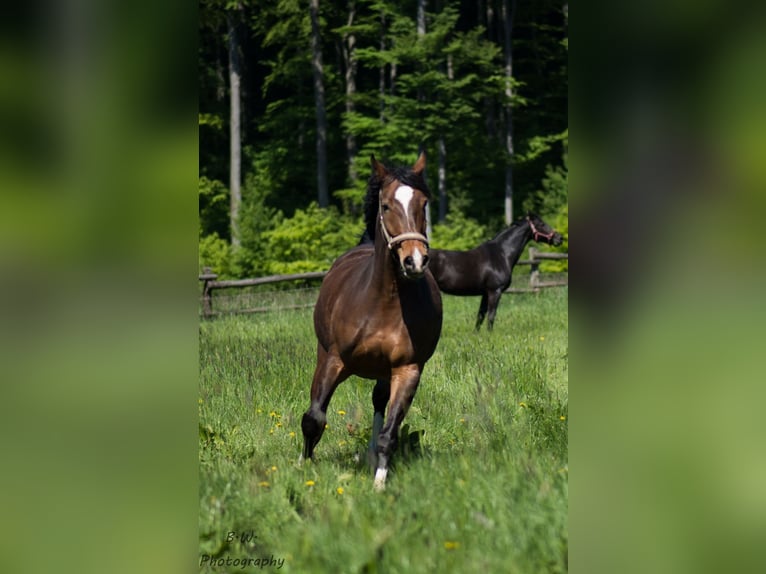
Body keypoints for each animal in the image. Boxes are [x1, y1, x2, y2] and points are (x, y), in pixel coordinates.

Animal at [301, 152, 443, 491]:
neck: (383, 303)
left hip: (384, 372)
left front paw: (379, 484)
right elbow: (314, 418)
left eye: (423, 203)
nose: (414, 261)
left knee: (379, 403)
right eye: (387, 205)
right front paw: (302, 468)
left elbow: (389, 433)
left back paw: (368, 457)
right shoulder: (334, 361)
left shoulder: (407, 370)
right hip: (324, 355)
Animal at [427, 213, 563, 331]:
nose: (559, 238)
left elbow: (480, 316)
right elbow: (491, 316)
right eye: (541, 224)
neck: (501, 254)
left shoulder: (485, 293)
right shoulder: (495, 291)